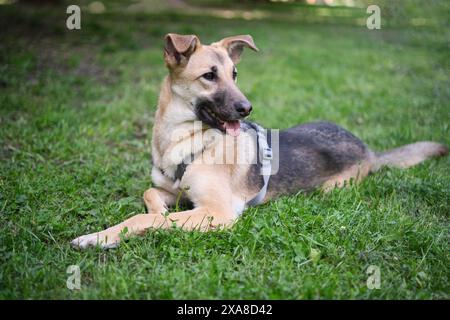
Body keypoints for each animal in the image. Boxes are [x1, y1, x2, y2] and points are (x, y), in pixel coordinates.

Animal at [70, 34, 446, 250]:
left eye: (235, 74)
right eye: (209, 76)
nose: (247, 108)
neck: (184, 140)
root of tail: (367, 148)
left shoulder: (217, 213)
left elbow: (143, 219)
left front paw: (100, 236)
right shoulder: (176, 191)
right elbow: (151, 195)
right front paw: (158, 210)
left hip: (332, 187)